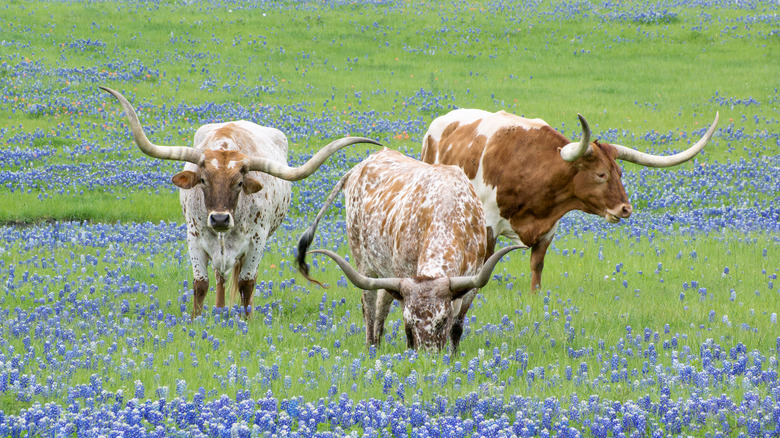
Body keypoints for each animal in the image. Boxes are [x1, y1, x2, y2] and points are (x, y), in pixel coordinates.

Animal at [100, 86, 380, 318]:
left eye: (238, 183)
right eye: (203, 180)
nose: (220, 218)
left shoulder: (256, 241)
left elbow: (247, 283)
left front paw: (247, 321)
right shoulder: (194, 238)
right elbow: (200, 283)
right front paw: (197, 320)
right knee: (220, 277)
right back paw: (220, 309)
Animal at [296, 149, 520, 350]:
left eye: (442, 320)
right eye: (412, 321)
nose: (428, 356)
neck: (447, 213)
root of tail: (361, 165)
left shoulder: (472, 283)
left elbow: (457, 328)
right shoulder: (404, 278)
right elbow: (404, 328)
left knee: (382, 303)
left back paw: (377, 345)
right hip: (364, 262)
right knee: (369, 305)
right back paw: (370, 346)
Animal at [424, 108, 724, 292]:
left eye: (620, 172)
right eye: (601, 174)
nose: (625, 209)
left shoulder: (548, 230)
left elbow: (536, 268)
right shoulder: (489, 225)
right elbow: (484, 264)